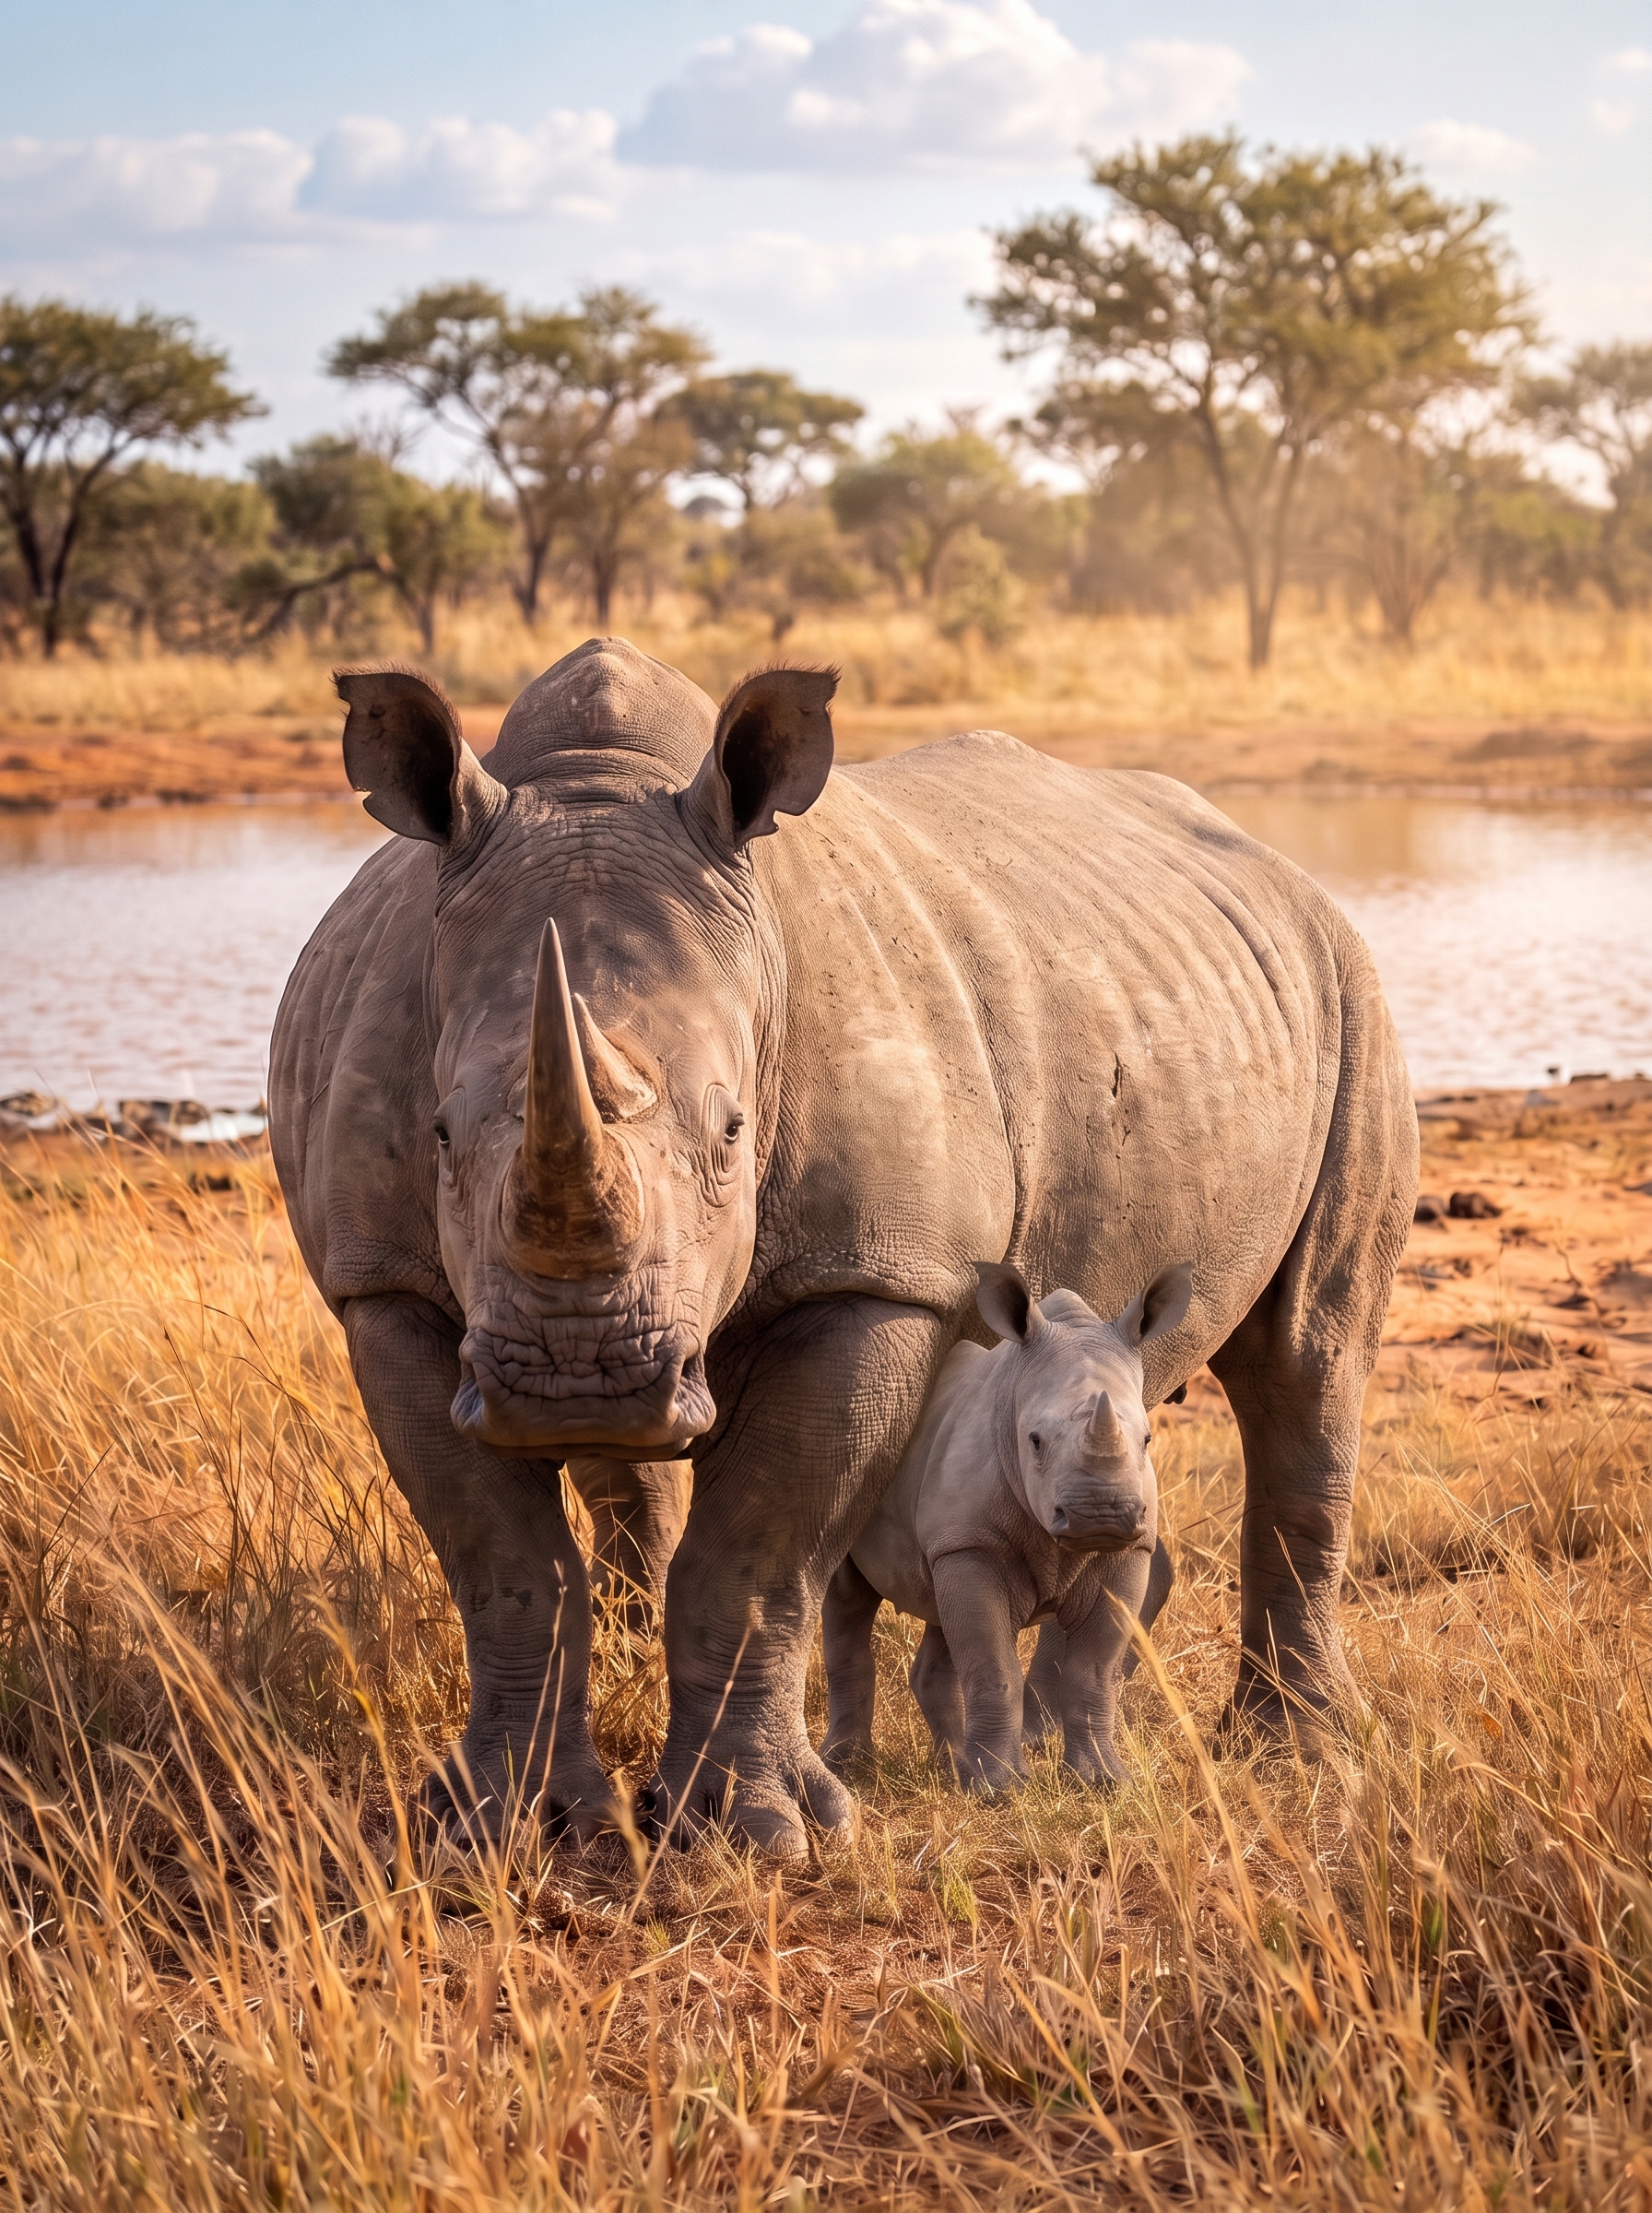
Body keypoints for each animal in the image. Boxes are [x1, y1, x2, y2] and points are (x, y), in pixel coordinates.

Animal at [822, 1259, 1191, 1791]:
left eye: (1146, 1439)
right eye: (1034, 1441)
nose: (1100, 1515)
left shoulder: (1125, 1551)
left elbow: (1093, 1672)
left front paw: (1103, 1782)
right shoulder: (972, 1545)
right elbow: (995, 1668)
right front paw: (1000, 1790)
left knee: (940, 1614)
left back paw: (952, 1767)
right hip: (860, 1475)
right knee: (849, 1595)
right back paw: (849, 1766)